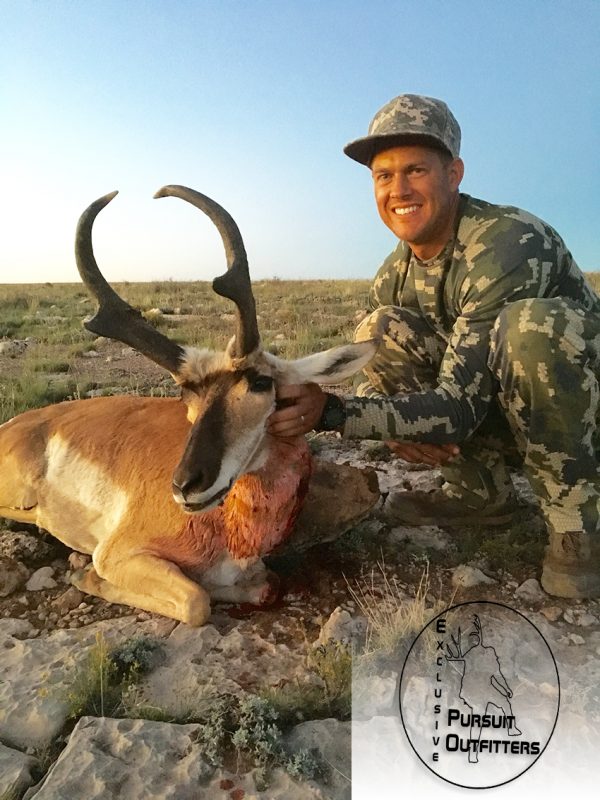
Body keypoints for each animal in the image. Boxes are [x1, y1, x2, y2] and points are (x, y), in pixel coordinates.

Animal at [0, 186, 376, 624]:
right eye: (186, 394)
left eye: (261, 382)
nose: (185, 486)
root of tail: (19, 424)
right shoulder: (119, 554)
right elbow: (197, 601)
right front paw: (84, 573)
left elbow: (264, 586)